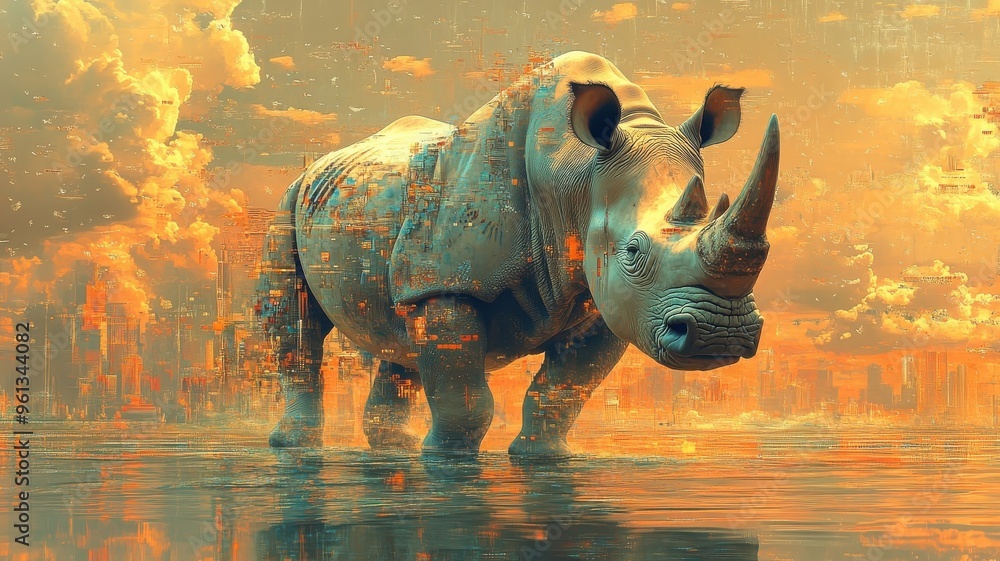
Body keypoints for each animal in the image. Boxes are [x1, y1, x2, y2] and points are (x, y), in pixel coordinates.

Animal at [257, 51, 780, 456]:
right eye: (633, 250)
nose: (721, 335)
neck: (575, 174)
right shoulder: (449, 283)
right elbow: (465, 401)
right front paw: (446, 461)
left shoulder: (607, 300)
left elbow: (562, 391)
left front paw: (542, 458)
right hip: (288, 203)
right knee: (296, 322)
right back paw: (296, 447)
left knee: (398, 334)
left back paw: (394, 451)